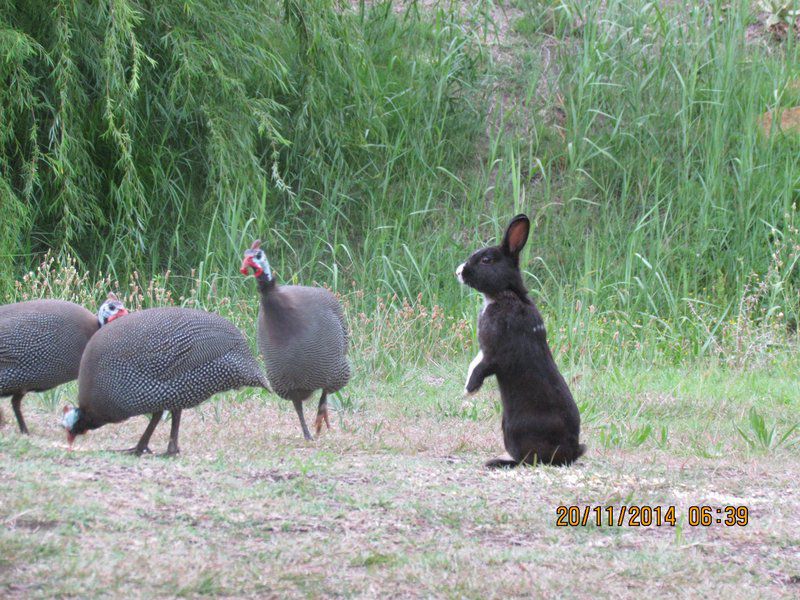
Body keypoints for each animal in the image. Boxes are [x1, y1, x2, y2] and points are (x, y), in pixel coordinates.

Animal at [456, 213, 588, 466]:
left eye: (486, 260)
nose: (459, 271)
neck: (504, 294)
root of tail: (570, 451)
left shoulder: (495, 353)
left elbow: (481, 369)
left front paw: (468, 392)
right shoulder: (483, 351)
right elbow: (473, 363)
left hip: (514, 430)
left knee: (528, 459)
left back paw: (496, 463)